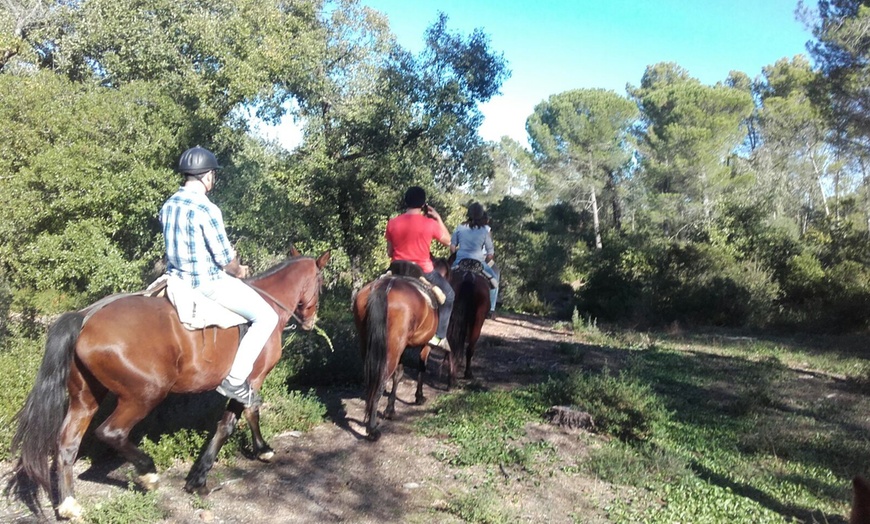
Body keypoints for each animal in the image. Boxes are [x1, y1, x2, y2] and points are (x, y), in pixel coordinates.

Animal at [6, 250, 330, 520]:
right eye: (321, 282)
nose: (310, 320)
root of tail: (86, 317)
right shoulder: (252, 379)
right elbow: (236, 420)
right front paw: (244, 458)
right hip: (145, 394)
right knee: (111, 432)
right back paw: (147, 472)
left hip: (86, 397)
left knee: (66, 444)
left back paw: (69, 505)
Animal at [352, 260, 446, 440]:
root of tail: (385, 287)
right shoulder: (425, 344)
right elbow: (421, 367)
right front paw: (419, 397)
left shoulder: (401, 348)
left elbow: (399, 374)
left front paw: (390, 410)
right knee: (380, 381)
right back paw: (372, 430)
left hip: (370, 343)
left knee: (371, 379)